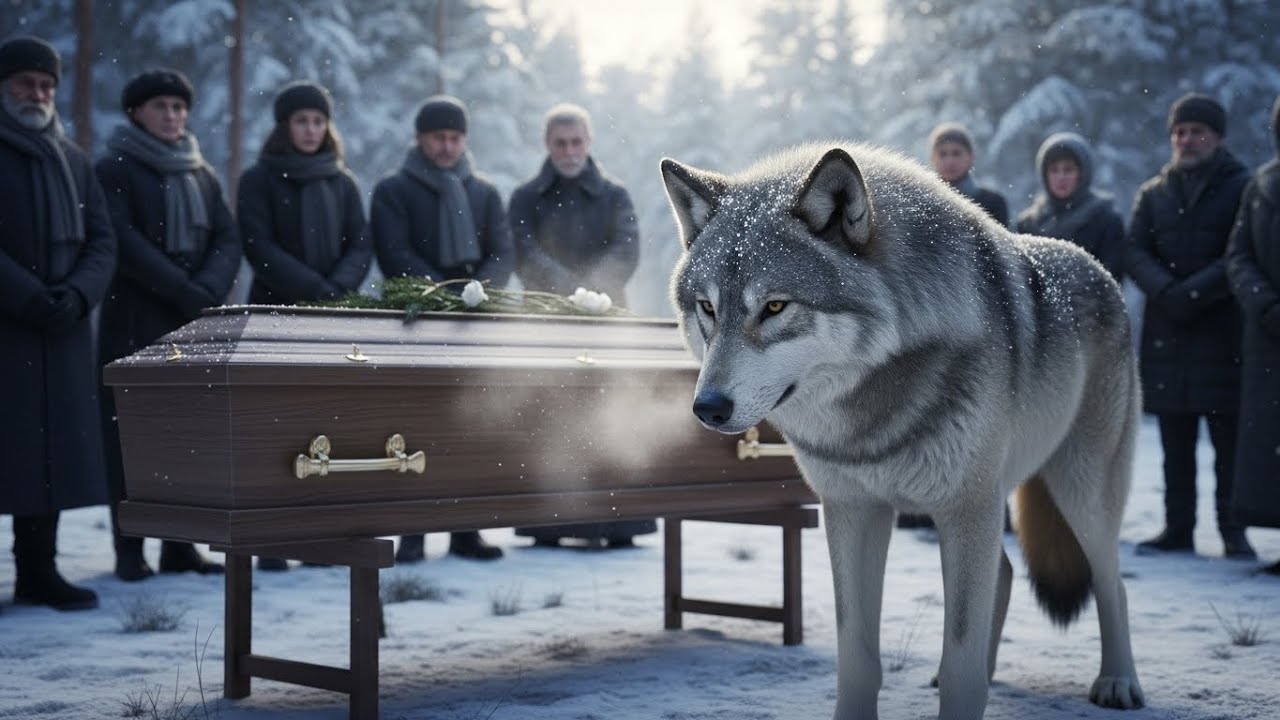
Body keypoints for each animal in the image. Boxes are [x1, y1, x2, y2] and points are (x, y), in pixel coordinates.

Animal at [660, 143, 1145, 719]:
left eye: (775, 306)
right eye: (707, 308)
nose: (707, 408)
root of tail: (1092, 261)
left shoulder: (964, 508)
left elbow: (961, 667)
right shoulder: (853, 509)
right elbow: (858, 659)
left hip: (1079, 494)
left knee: (1112, 584)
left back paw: (1118, 682)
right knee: (1006, 573)